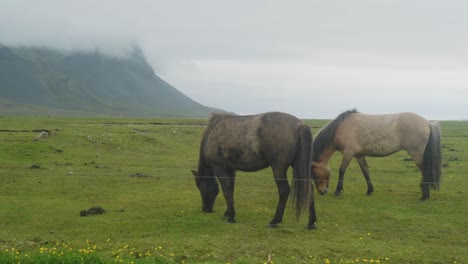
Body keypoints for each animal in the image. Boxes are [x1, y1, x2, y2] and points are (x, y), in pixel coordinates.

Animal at [312, 109, 440, 200]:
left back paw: (425, 196)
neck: (341, 128)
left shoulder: (348, 153)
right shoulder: (358, 155)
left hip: (417, 154)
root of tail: (428, 123)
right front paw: (370, 190)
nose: (322, 191)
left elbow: (342, 170)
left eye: (315, 174)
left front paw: (337, 191)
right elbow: (365, 172)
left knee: (425, 171)